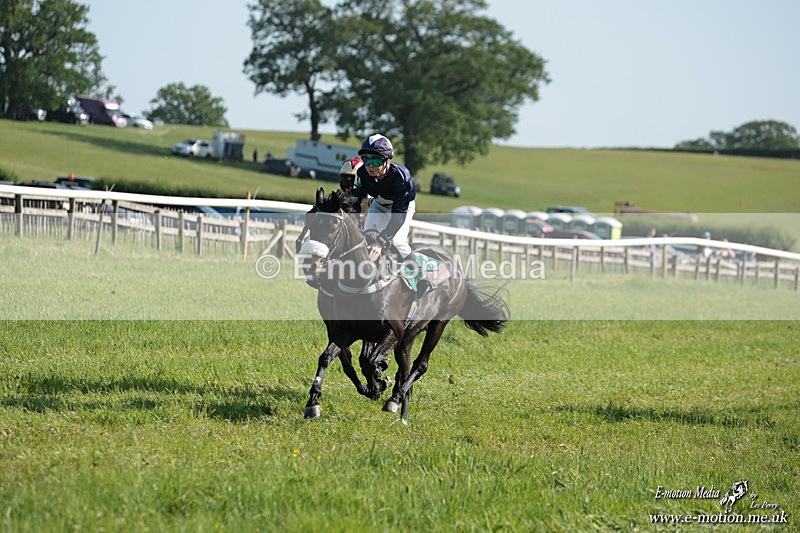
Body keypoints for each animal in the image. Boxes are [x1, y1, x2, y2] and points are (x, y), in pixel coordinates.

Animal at [302, 188, 509, 423]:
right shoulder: (346, 331)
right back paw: (402, 411)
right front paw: (313, 403)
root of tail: (458, 270)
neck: (364, 279)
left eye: (332, 226)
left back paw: (394, 399)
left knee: (420, 365)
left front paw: (379, 383)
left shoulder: (393, 331)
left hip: (438, 324)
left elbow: (369, 361)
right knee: (405, 365)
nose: (311, 265)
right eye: (311, 222)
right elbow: (329, 358)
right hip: (410, 335)